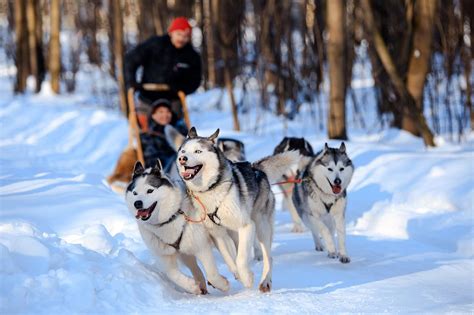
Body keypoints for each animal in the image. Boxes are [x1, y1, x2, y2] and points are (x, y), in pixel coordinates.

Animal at [126, 162, 230, 296]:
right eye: (134, 193)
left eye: (150, 191)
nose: (137, 203)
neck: (169, 219)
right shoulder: (166, 255)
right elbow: (172, 274)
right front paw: (192, 286)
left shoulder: (201, 247)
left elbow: (212, 274)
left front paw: (223, 285)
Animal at [176, 128, 298, 294]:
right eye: (183, 151)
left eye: (198, 151)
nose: (182, 158)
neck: (211, 189)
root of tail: (256, 169)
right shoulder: (218, 235)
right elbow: (230, 259)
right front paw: (235, 276)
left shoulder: (247, 226)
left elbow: (240, 259)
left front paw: (247, 278)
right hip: (234, 234)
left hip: (261, 227)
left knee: (268, 257)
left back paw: (265, 281)